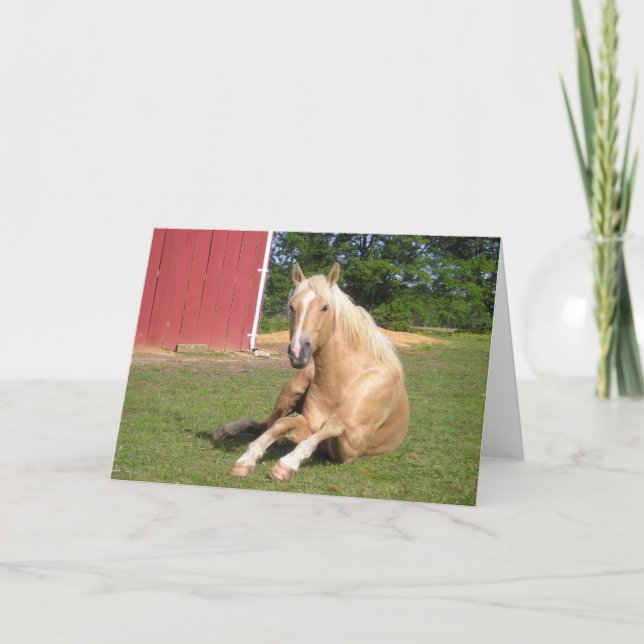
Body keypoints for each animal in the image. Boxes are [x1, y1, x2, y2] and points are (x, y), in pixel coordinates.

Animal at [213, 262, 409, 482]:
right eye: (292, 306)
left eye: (325, 307)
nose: (297, 352)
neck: (349, 381)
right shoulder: (308, 424)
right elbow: (281, 424)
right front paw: (246, 460)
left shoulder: (353, 446)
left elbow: (331, 426)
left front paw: (285, 465)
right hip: (289, 394)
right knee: (268, 423)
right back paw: (226, 430)